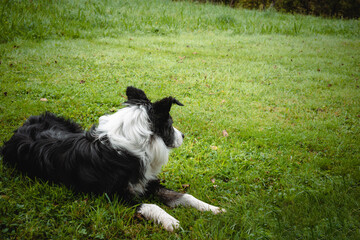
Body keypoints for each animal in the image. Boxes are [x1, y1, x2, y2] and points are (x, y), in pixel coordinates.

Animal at [0, 86, 225, 231]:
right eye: (170, 124)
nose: (184, 136)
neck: (130, 148)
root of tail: (23, 125)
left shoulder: (146, 183)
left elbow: (184, 196)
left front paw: (213, 209)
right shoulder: (116, 196)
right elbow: (151, 205)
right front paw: (171, 221)